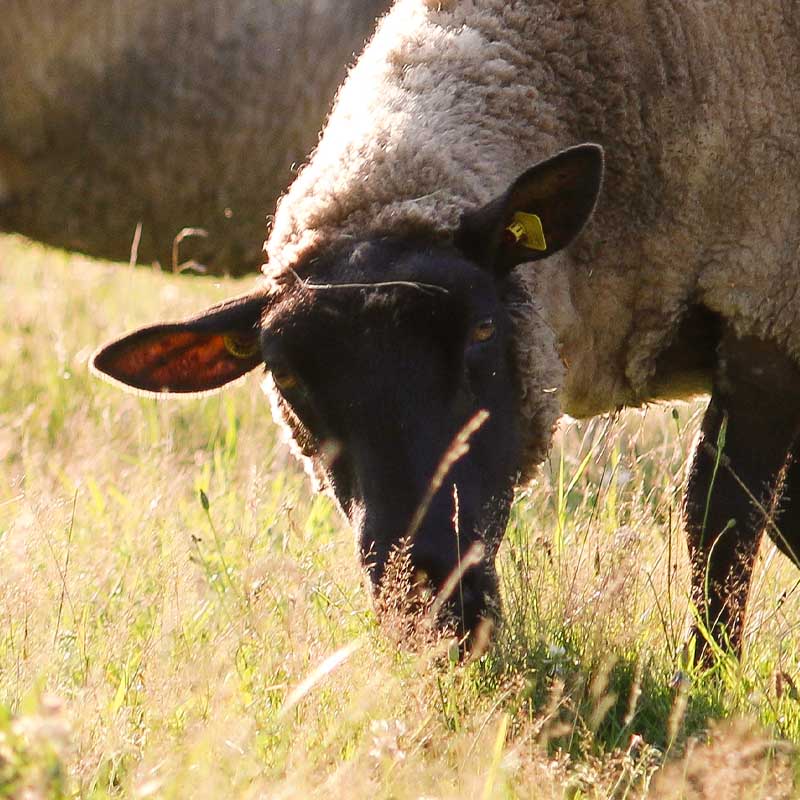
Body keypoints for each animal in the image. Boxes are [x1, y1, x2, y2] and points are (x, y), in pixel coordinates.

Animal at [90, 0, 800, 656]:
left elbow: (720, 521)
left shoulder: (763, 314)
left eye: (483, 332)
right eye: (286, 376)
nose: (429, 602)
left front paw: (706, 672)